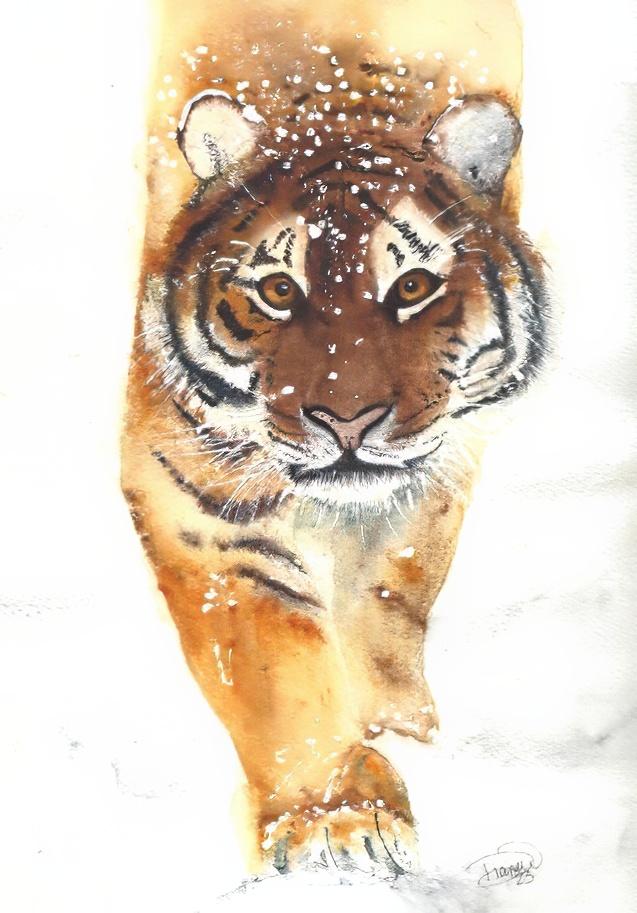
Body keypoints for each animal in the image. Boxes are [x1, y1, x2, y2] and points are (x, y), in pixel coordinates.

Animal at [122, 32, 549, 875]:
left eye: (411, 286)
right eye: (278, 291)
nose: (346, 421)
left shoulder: (427, 484)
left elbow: (387, 613)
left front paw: (403, 733)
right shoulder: (200, 503)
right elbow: (282, 671)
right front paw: (337, 817)